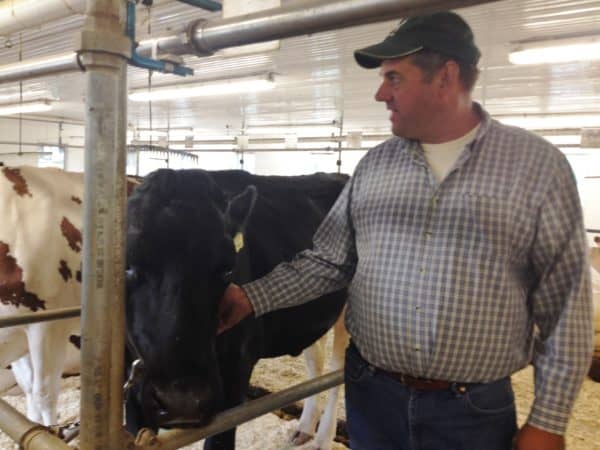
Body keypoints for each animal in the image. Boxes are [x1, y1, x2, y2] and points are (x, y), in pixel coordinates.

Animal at [125, 170, 346, 450]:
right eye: (128, 265)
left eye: (228, 269)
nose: (182, 402)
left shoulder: (235, 370)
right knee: (316, 360)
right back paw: (305, 428)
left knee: (338, 368)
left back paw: (323, 438)